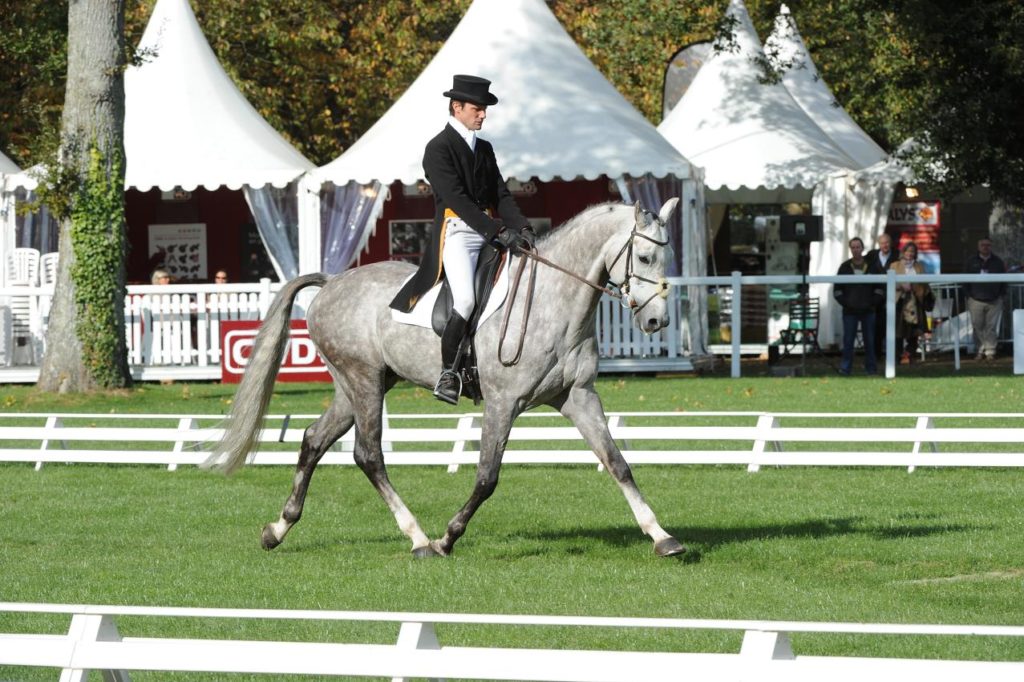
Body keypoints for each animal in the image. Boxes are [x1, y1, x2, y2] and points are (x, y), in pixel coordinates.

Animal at [205, 196, 688, 557]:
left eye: (667, 257)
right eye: (645, 256)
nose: (656, 323)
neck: (554, 301)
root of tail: (331, 283)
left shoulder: (579, 396)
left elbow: (617, 463)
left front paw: (662, 537)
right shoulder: (503, 403)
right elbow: (487, 477)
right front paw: (447, 538)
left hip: (358, 385)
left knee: (313, 441)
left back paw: (278, 529)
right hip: (363, 381)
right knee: (368, 454)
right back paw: (418, 538)